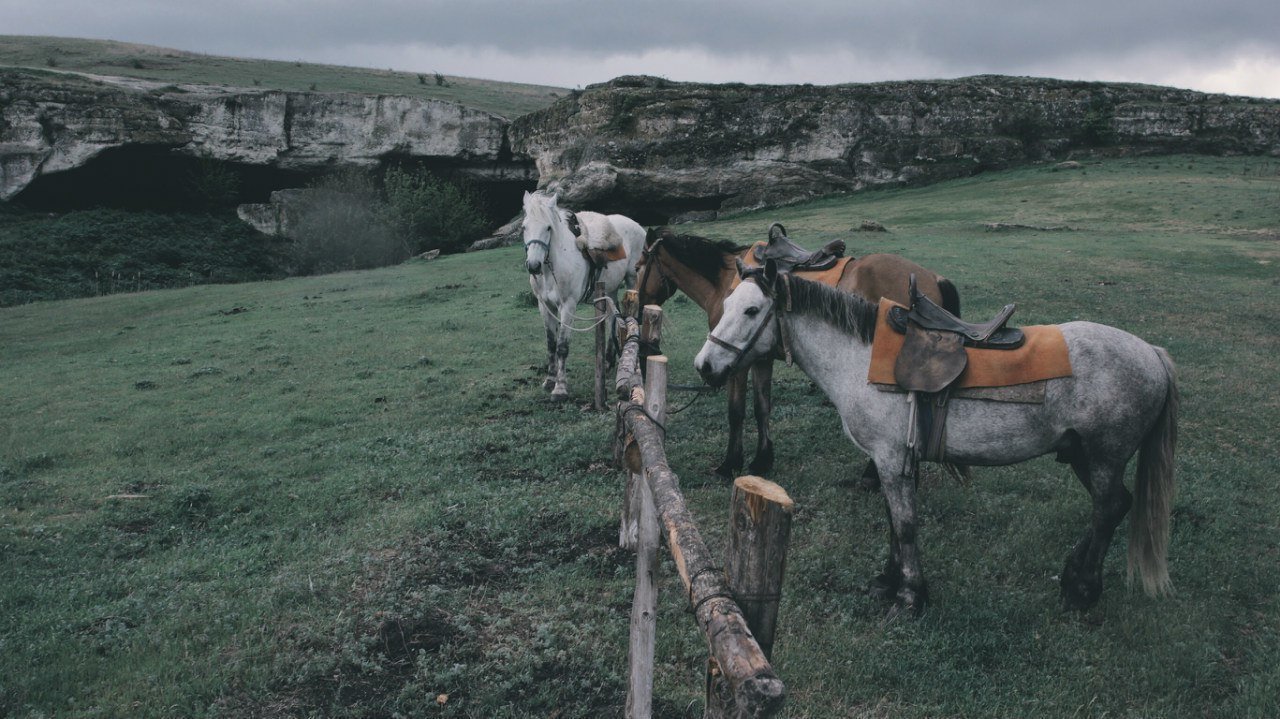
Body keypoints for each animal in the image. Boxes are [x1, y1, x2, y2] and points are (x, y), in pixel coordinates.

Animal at [519, 190, 645, 399]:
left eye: (548, 228)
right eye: (524, 227)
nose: (534, 266)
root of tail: (638, 226)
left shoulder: (567, 306)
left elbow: (562, 346)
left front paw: (560, 388)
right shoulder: (544, 306)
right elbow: (551, 343)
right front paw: (549, 380)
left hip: (632, 280)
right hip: (610, 288)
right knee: (613, 317)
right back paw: (608, 361)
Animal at [634, 223, 957, 478]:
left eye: (638, 267)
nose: (637, 310)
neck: (725, 281)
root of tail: (932, 278)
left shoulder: (736, 362)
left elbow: (736, 411)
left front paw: (730, 463)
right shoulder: (760, 358)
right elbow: (761, 407)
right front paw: (762, 460)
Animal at [696, 259, 1172, 614]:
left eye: (751, 311)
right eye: (728, 303)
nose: (705, 366)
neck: (860, 359)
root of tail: (1153, 354)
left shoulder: (890, 459)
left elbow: (905, 525)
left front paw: (910, 595)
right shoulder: (892, 461)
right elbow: (894, 521)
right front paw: (889, 580)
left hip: (1105, 456)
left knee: (1107, 509)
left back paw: (1082, 589)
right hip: (1082, 455)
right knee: (1114, 506)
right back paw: (1074, 574)